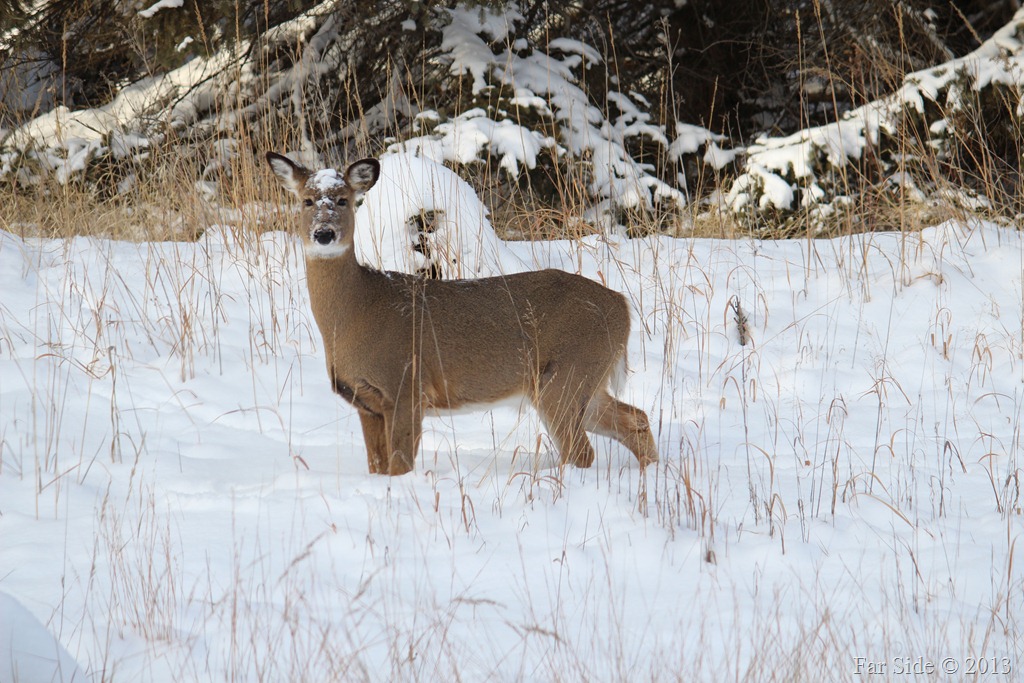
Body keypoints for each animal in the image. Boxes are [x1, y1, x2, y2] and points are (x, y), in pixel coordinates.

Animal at [268, 152, 659, 479]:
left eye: (343, 200)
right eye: (306, 200)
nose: (324, 233)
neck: (357, 312)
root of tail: (622, 305)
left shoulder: (406, 385)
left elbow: (399, 466)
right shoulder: (366, 403)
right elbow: (377, 467)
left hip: (566, 374)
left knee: (582, 451)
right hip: (586, 382)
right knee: (635, 419)